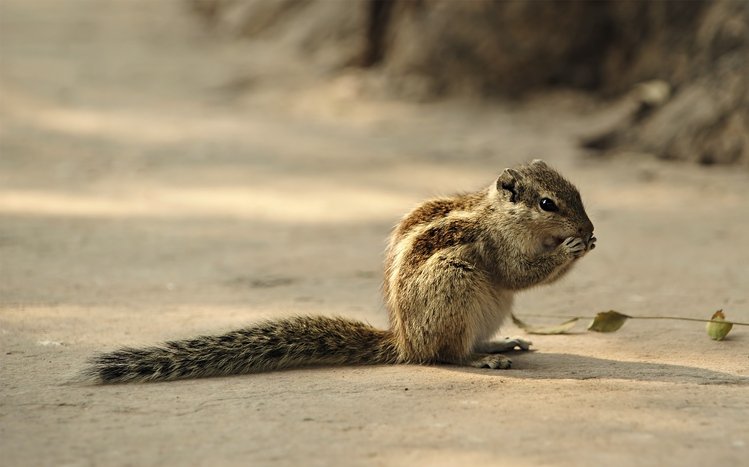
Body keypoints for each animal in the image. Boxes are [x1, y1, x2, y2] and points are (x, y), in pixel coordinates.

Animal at [82, 159, 595, 383]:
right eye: (548, 203)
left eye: (577, 192)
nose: (589, 228)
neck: (497, 213)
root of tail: (403, 341)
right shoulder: (498, 247)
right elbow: (520, 273)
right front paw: (573, 247)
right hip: (456, 285)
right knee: (443, 356)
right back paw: (479, 358)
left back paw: (499, 343)